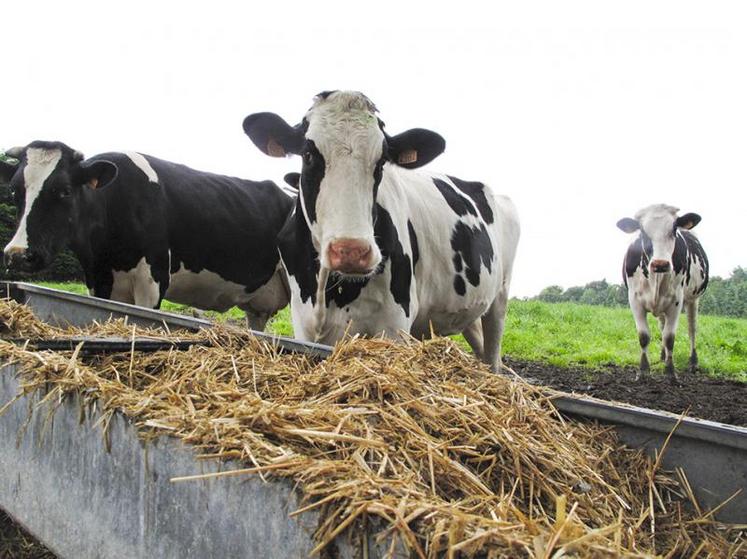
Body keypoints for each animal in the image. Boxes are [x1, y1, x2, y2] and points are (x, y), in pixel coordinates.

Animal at [2, 142, 296, 330]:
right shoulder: (99, 282)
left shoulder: (152, 280)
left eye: (64, 190)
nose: (18, 254)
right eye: (15, 190)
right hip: (258, 306)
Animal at [244, 91, 520, 372]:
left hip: (500, 297)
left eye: (381, 162)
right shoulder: (303, 321)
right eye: (308, 154)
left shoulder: (395, 323)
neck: (331, 290)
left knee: (493, 355)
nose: (351, 252)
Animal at [620, 203, 712, 382]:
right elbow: (644, 336)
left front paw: (670, 372)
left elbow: (669, 337)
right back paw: (662, 356)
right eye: (642, 230)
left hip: (693, 300)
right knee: (662, 325)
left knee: (692, 329)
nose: (660, 264)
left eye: (674, 228)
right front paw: (643, 371)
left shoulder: (676, 301)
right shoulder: (635, 301)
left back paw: (693, 362)